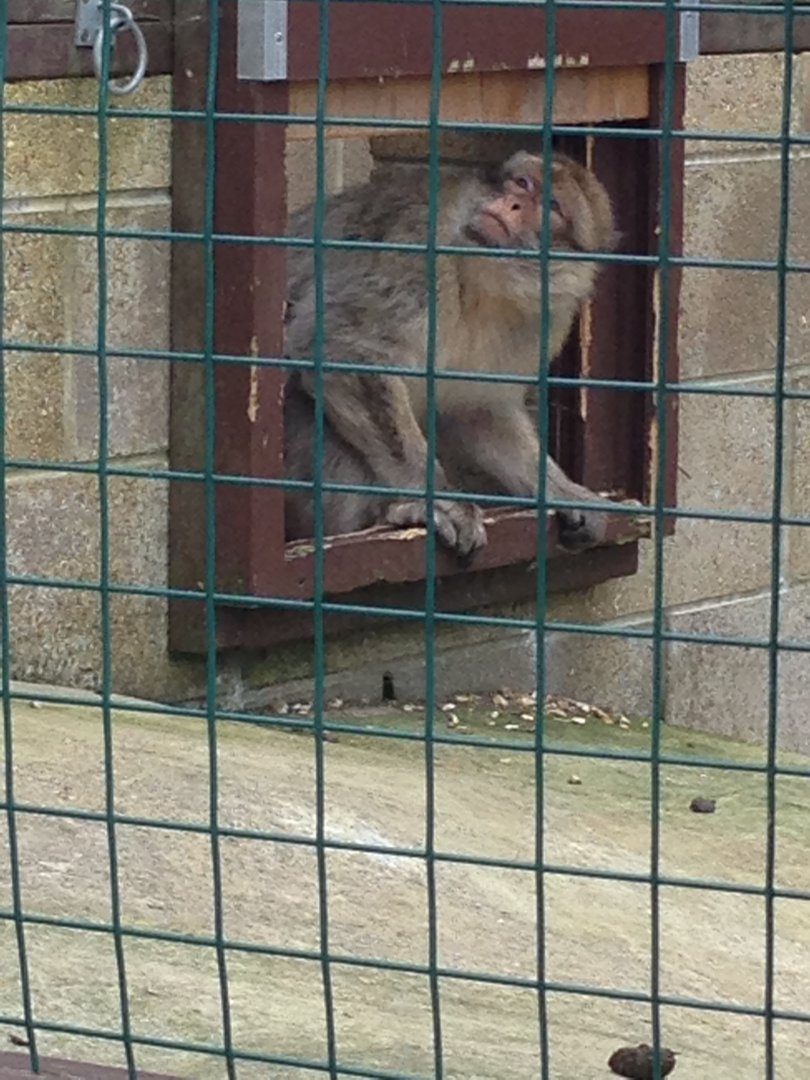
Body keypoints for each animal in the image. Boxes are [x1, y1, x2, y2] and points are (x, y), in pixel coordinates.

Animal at [282, 149, 619, 560]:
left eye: (552, 206)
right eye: (522, 184)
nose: (513, 204)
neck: (483, 279)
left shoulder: (541, 321)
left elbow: (478, 413)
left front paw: (563, 490)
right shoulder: (414, 255)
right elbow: (337, 345)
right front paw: (436, 499)